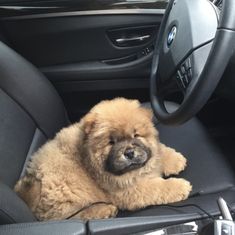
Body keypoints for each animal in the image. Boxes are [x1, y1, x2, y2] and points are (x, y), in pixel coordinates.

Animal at [14, 97, 191, 220]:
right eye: (111, 142)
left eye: (136, 135)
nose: (129, 152)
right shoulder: (129, 190)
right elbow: (157, 188)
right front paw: (181, 186)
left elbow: (159, 151)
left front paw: (176, 160)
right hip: (68, 195)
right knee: (71, 217)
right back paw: (105, 210)